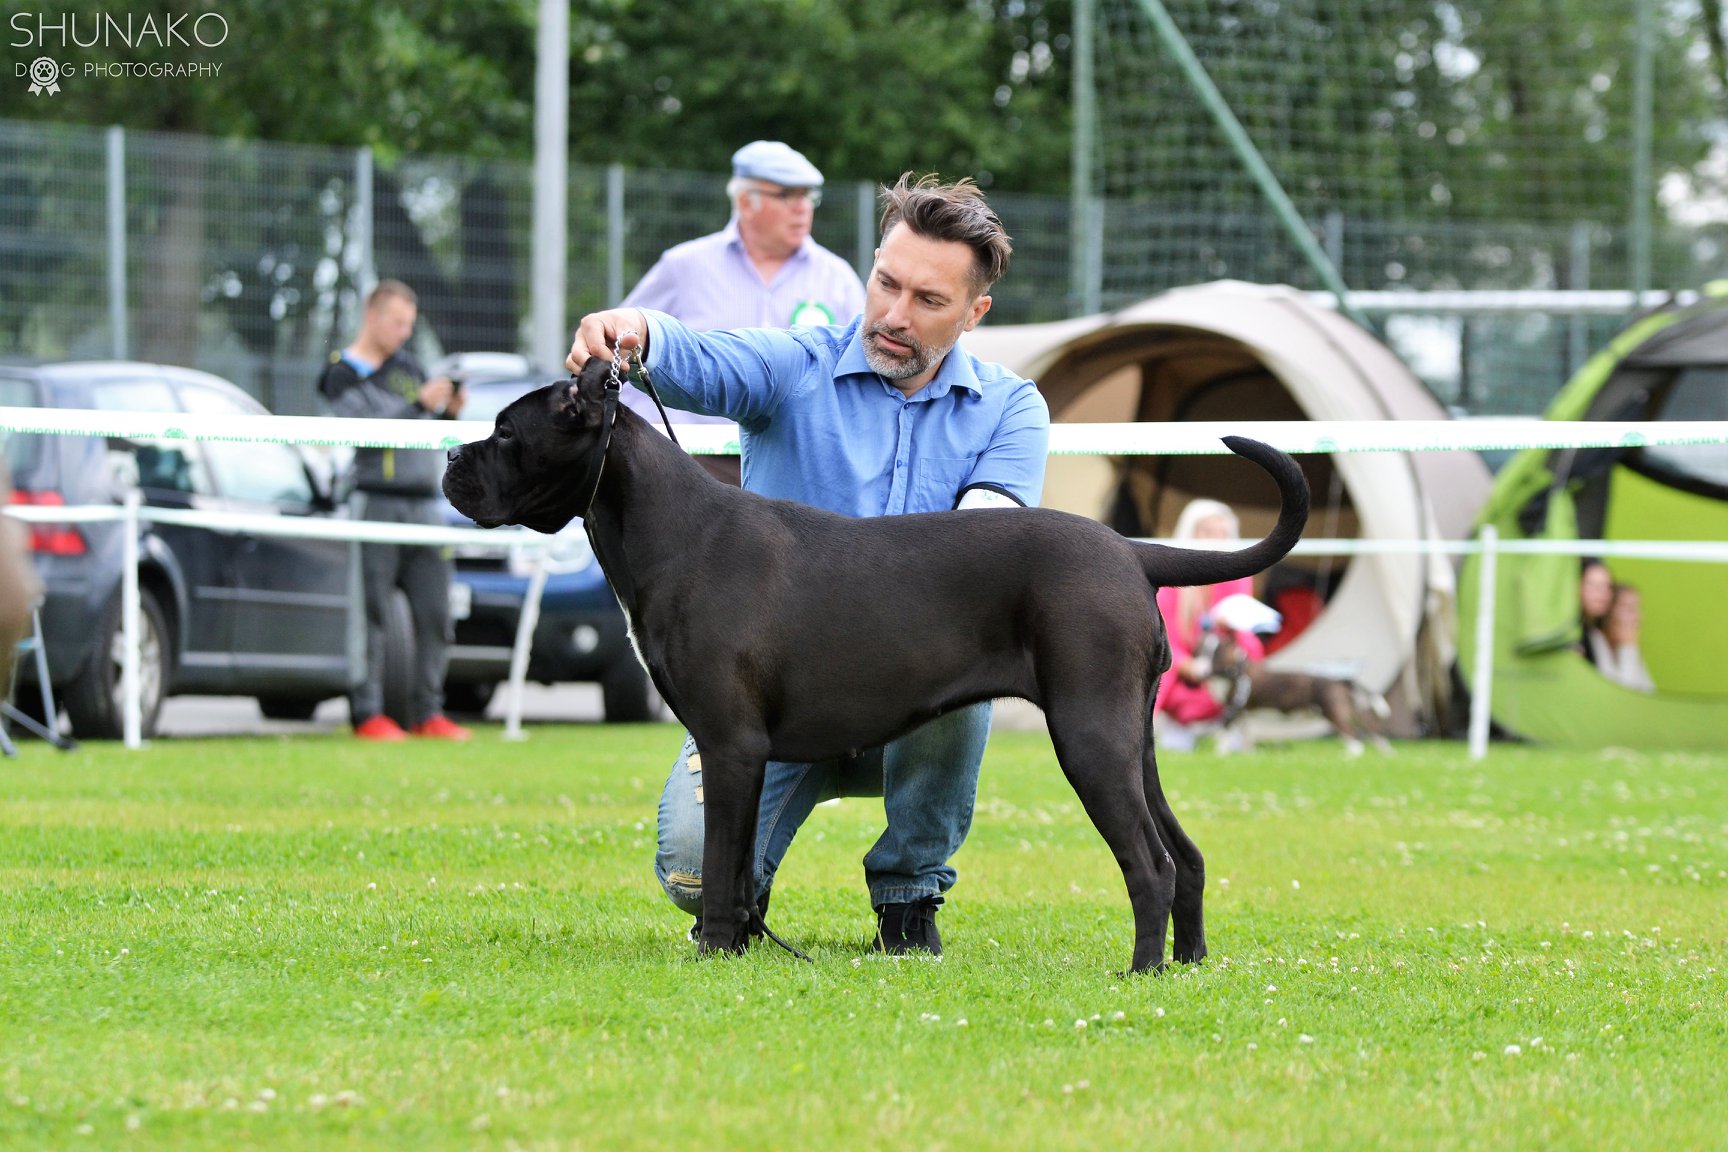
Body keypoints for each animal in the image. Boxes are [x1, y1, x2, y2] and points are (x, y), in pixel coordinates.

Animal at [445, 360, 1306, 974]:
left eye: (505, 430)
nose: (451, 454)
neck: (667, 526)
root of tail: (1131, 551)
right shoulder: (743, 756)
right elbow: (736, 867)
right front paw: (734, 946)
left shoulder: (729, 747)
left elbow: (721, 865)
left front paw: (717, 950)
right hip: (1132, 739)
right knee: (1186, 856)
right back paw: (1186, 966)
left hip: (1090, 738)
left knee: (1150, 864)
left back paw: (1140, 973)